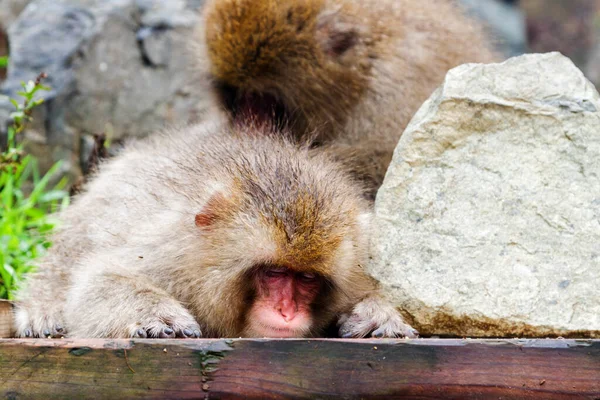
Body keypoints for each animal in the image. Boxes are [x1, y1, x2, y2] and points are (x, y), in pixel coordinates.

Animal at [12, 120, 418, 340]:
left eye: (306, 278)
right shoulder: (171, 259)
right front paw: (153, 313)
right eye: (274, 272)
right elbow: (100, 280)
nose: (287, 312)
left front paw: (379, 313)